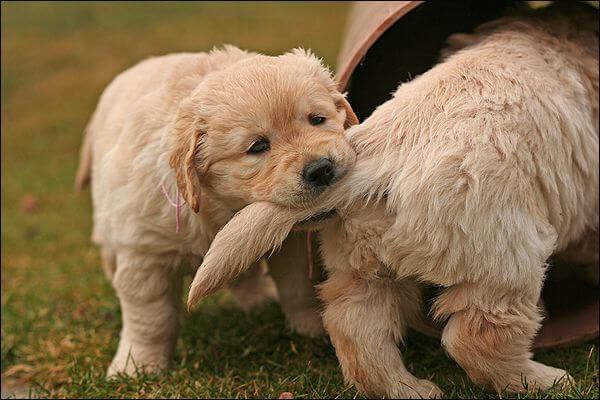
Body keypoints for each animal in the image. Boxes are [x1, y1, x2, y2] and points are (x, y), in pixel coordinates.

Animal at [74, 45, 356, 376]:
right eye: (258, 147)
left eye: (317, 119)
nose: (321, 169)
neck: (218, 208)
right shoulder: (144, 255)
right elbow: (150, 319)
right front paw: (136, 366)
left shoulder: (291, 243)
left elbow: (297, 285)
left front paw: (311, 328)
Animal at [185, 7, 596, 400]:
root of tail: (379, 154)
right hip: (504, 252)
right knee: (475, 337)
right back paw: (544, 380)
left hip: (363, 261)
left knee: (356, 328)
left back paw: (408, 389)